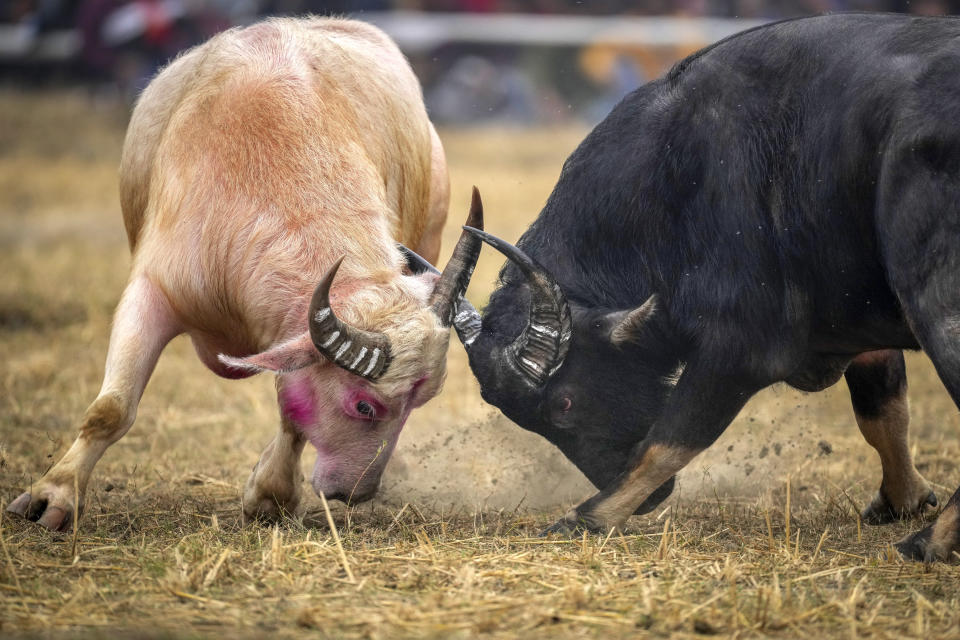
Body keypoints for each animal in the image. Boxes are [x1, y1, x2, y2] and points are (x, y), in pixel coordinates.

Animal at [450, 15, 960, 564]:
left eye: (562, 405)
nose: (652, 502)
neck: (678, 180)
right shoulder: (852, 320)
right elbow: (882, 412)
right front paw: (903, 498)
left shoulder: (742, 348)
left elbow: (668, 440)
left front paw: (585, 518)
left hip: (938, 307)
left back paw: (929, 543)